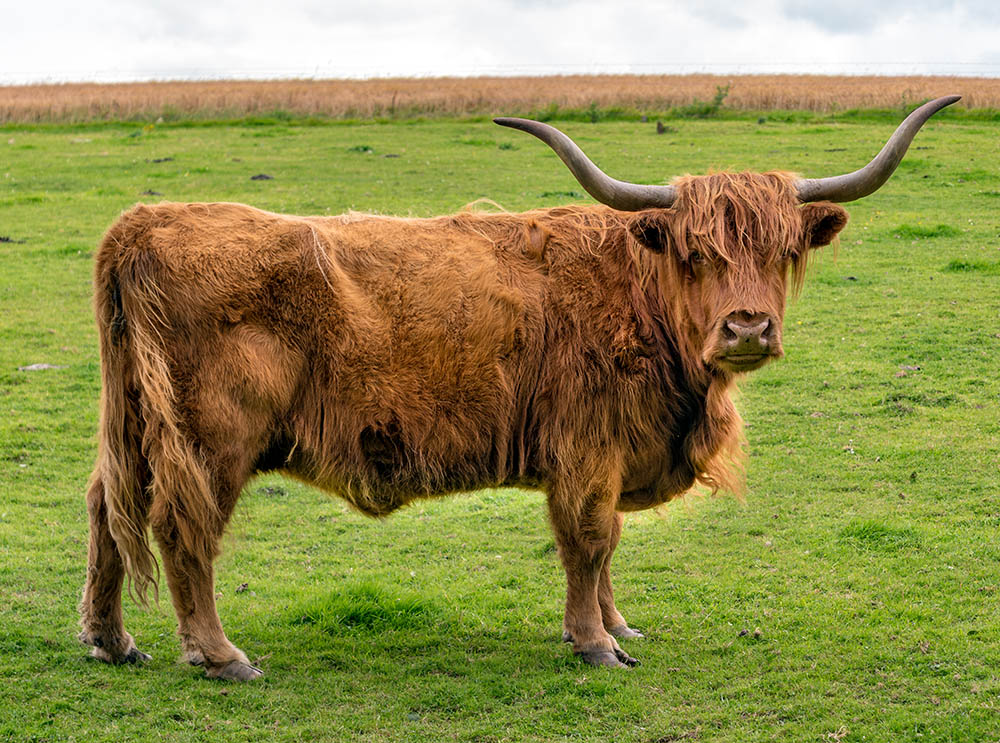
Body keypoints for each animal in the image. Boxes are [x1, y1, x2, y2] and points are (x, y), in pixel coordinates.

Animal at [80, 94, 960, 680]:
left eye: (783, 251)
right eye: (695, 253)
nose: (748, 328)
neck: (638, 298)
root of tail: (145, 221)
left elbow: (609, 547)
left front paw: (618, 624)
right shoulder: (587, 451)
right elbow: (591, 540)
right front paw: (594, 642)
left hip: (133, 425)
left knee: (107, 509)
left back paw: (111, 638)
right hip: (209, 438)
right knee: (184, 529)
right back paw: (220, 653)